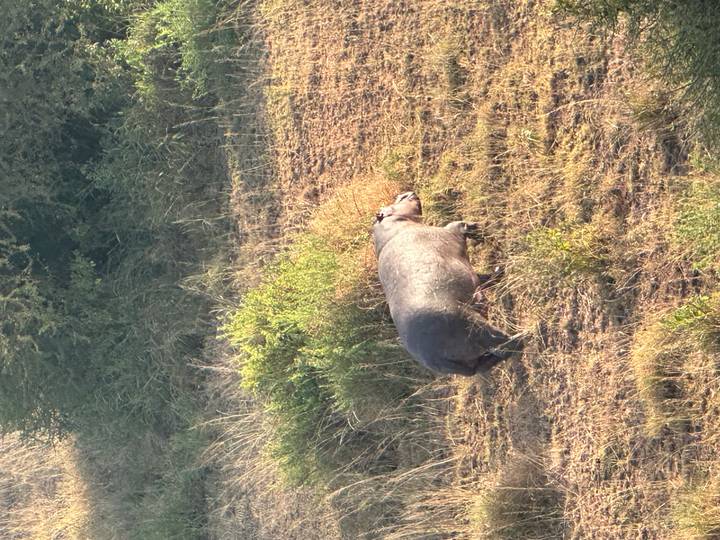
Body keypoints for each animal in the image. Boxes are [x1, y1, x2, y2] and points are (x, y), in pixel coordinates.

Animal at [372, 192, 521, 376]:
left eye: (397, 198)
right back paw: (524, 334)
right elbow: (459, 224)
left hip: (469, 360)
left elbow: (484, 278)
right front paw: (477, 227)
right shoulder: (448, 230)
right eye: (394, 202)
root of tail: (433, 356)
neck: (393, 226)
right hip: (469, 321)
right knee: (503, 343)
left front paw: (497, 270)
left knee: (487, 361)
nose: (405, 193)